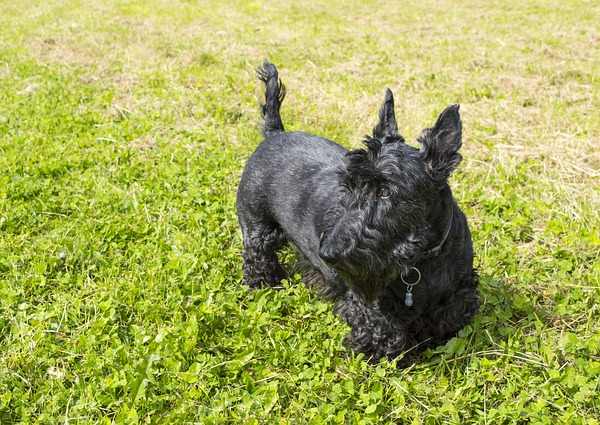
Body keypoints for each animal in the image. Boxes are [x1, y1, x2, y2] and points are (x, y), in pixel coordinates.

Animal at [237, 61, 480, 362]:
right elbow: (385, 332)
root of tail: (275, 133)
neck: (421, 260)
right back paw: (264, 283)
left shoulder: (460, 292)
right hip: (256, 225)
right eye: (349, 185)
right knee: (256, 255)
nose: (328, 254)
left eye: (386, 191)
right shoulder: (366, 302)